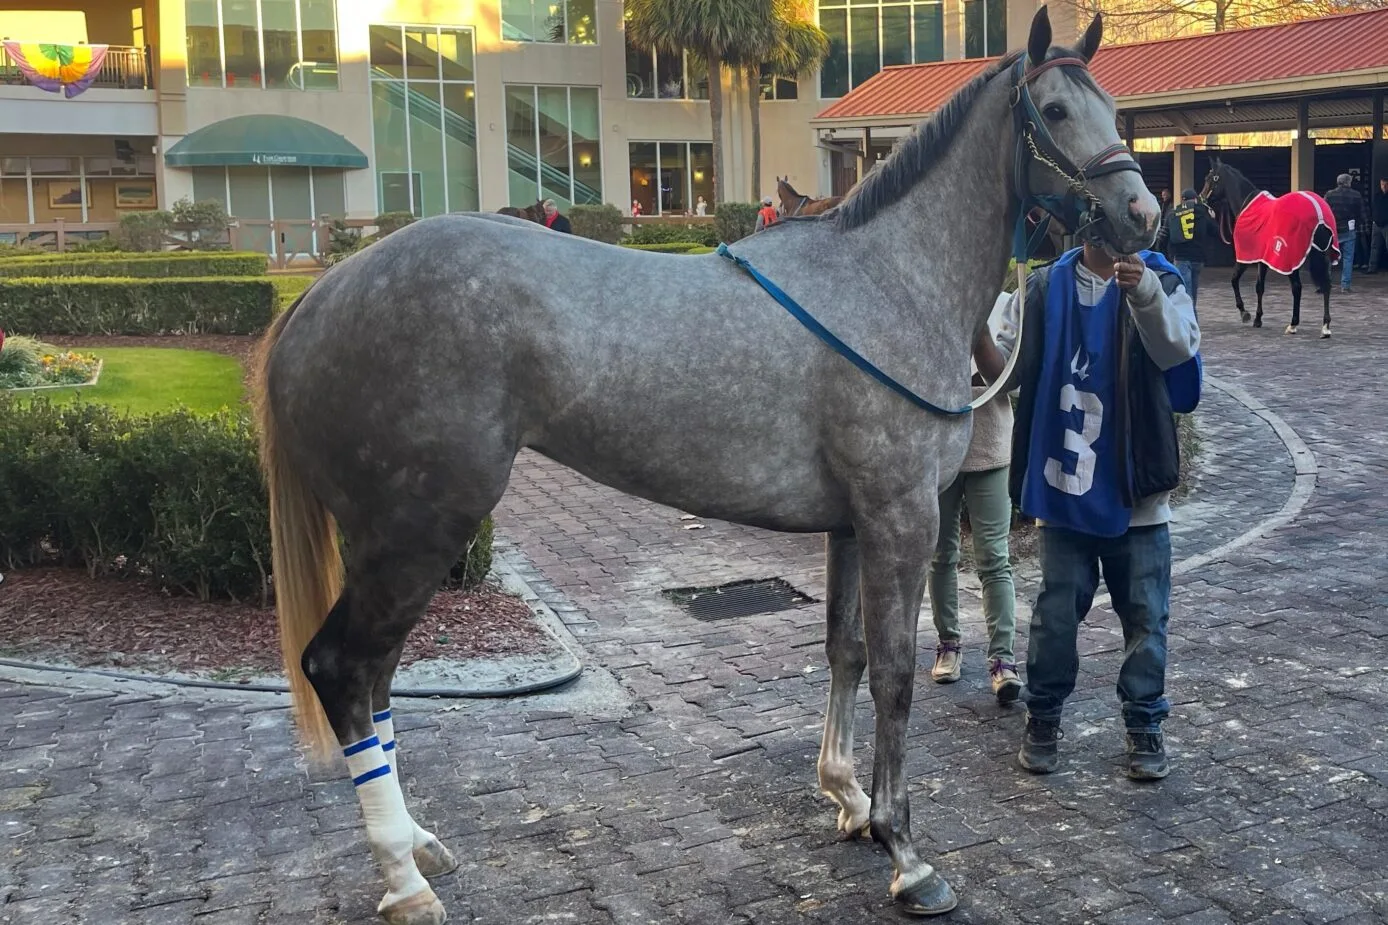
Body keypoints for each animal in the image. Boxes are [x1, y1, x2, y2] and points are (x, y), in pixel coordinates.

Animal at [256, 9, 1155, 922]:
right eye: (1055, 109)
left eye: (1114, 107)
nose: (1143, 214)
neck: (888, 279)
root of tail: (318, 297)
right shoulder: (901, 517)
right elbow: (896, 676)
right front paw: (904, 849)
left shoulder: (851, 524)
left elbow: (844, 651)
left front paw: (847, 797)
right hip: (417, 533)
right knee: (344, 670)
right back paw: (404, 878)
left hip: (396, 545)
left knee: (376, 680)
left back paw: (418, 847)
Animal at [1200, 159, 1336, 338]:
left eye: (1210, 178)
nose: (1201, 197)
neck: (1247, 204)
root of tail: (1317, 211)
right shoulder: (1263, 258)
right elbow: (1260, 287)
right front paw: (1257, 318)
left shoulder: (1247, 257)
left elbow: (1236, 281)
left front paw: (1246, 313)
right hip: (1320, 254)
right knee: (1326, 285)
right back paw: (1325, 327)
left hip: (1291, 259)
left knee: (1297, 288)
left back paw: (1293, 324)